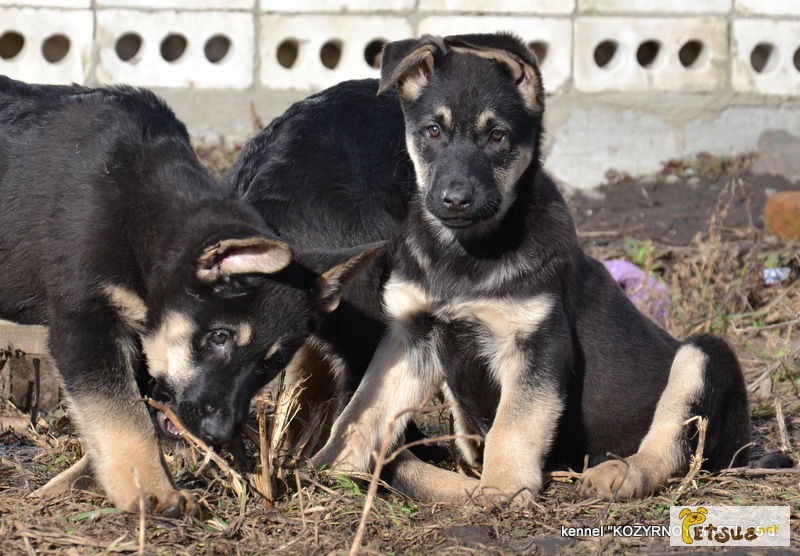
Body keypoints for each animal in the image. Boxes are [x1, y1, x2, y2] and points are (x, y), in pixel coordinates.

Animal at [0, 76, 378, 516]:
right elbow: (124, 418)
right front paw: (152, 493)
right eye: (220, 337)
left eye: (272, 363)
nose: (218, 433)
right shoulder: (86, 323)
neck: (140, 209)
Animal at [312, 34, 752, 504]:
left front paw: (501, 491)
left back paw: (620, 473)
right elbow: (364, 409)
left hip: (706, 356)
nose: (455, 200)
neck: (466, 252)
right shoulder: (410, 334)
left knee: (672, 445)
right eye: (432, 131)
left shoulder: (537, 341)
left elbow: (514, 424)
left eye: (497, 136)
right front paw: (326, 469)